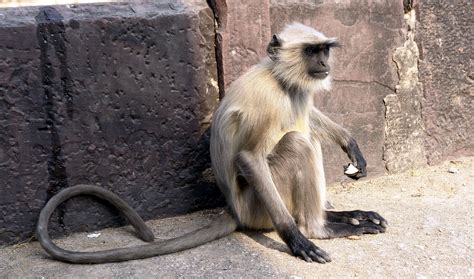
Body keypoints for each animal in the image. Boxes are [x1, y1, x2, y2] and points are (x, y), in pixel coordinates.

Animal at [37, 22, 386, 264]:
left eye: (325, 50)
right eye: (312, 51)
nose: (325, 63)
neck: (279, 78)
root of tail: (236, 211)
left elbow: (310, 113)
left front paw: (350, 144)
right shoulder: (268, 101)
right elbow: (249, 158)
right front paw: (296, 240)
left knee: (306, 136)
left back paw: (341, 215)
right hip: (258, 206)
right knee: (298, 143)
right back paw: (319, 228)